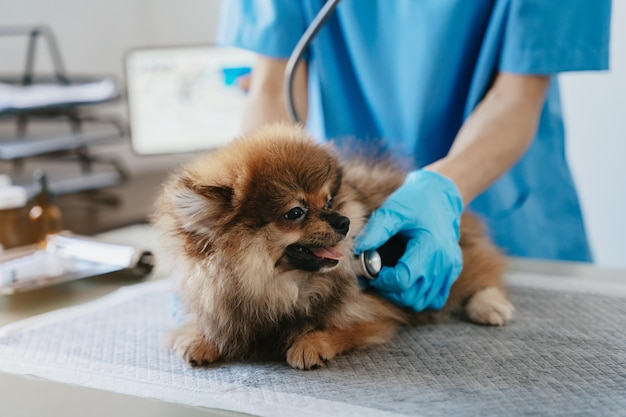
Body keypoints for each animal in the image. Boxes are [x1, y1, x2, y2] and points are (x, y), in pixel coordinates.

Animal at [152, 122, 512, 368]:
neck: (280, 290)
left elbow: (341, 328)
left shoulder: (373, 313)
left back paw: (490, 305)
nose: (344, 221)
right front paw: (197, 339)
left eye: (327, 200)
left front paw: (311, 343)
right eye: (295, 212)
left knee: (481, 271)